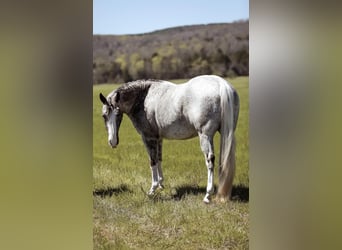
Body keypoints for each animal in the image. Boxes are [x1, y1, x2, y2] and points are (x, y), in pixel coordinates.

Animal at [98, 74, 238, 203]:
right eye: (104, 115)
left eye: (117, 114)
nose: (113, 142)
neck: (144, 96)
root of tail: (220, 83)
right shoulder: (159, 139)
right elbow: (159, 159)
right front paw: (161, 185)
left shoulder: (148, 138)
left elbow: (152, 161)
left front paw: (152, 189)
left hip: (205, 136)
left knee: (210, 160)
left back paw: (207, 195)